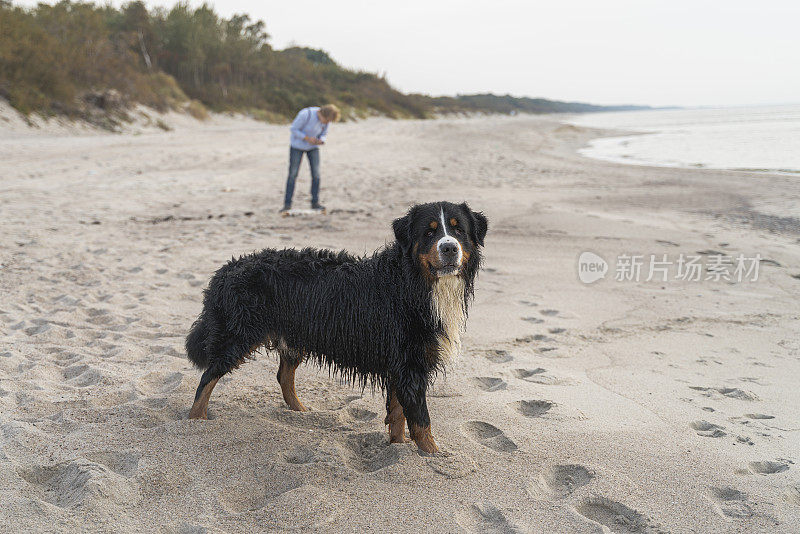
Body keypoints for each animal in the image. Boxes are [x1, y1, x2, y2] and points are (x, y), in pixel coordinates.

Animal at [186, 203, 488, 454]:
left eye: (459, 230)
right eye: (429, 232)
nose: (449, 248)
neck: (410, 283)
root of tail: (229, 268)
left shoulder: (403, 364)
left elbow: (399, 414)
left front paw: (397, 447)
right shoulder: (410, 364)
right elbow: (421, 420)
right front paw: (435, 456)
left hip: (293, 336)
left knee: (284, 376)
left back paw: (300, 411)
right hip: (236, 336)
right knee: (207, 378)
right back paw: (195, 420)